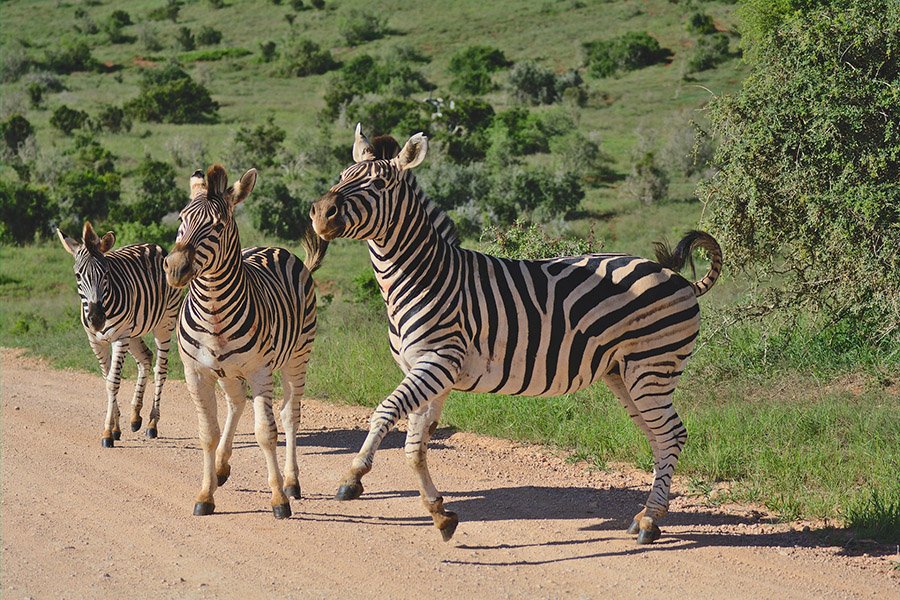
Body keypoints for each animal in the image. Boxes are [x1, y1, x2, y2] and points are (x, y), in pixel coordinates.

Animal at [56, 223, 181, 448]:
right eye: (78, 276)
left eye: (106, 274)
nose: (97, 320)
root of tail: (154, 246)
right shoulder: (96, 341)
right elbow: (107, 380)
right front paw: (115, 428)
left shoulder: (120, 338)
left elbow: (113, 382)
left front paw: (107, 433)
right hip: (134, 331)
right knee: (145, 358)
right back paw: (135, 417)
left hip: (164, 322)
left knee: (161, 369)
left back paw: (152, 423)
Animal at [163, 165, 326, 520]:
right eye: (181, 218)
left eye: (217, 226)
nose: (175, 269)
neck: (214, 311)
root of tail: (276, 248)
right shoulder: (196, 373)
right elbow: (207, 434)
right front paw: (205, 495)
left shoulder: (260, 371)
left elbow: (266, 433)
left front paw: (278, 499)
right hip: (228, 371)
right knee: (236, 404)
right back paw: (221, 468)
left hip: (298, 356)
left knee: (290, 415)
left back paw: (292, 483)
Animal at [310, 125, 724, 544]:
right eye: (343, 174)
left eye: (379, 184)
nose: (320, 213)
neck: (423, 277)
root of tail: (680, 280)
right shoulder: (429, 373)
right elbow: (416, 446)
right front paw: (439, 512)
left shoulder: (437, 362)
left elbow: (385, 411)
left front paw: (353, 476)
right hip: (624, 373)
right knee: (659, 437)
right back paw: (645, 517)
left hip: (652, 366)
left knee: (671, 435)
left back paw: (651, 520)